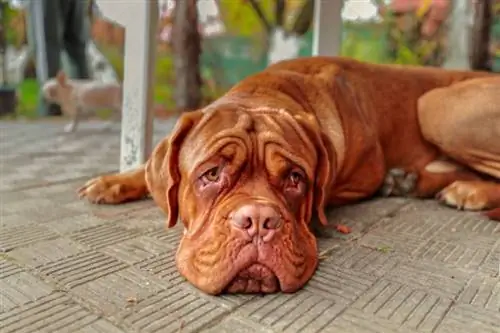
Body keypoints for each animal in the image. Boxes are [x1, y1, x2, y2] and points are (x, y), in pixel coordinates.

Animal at [78, 56, 500, 294]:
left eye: (296, 178)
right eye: (211, 174)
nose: (258, 221)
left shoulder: (361, 176)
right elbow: (157, 170)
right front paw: (115, 180)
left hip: (437, 105)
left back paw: (465, 190)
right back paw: (414, 180)